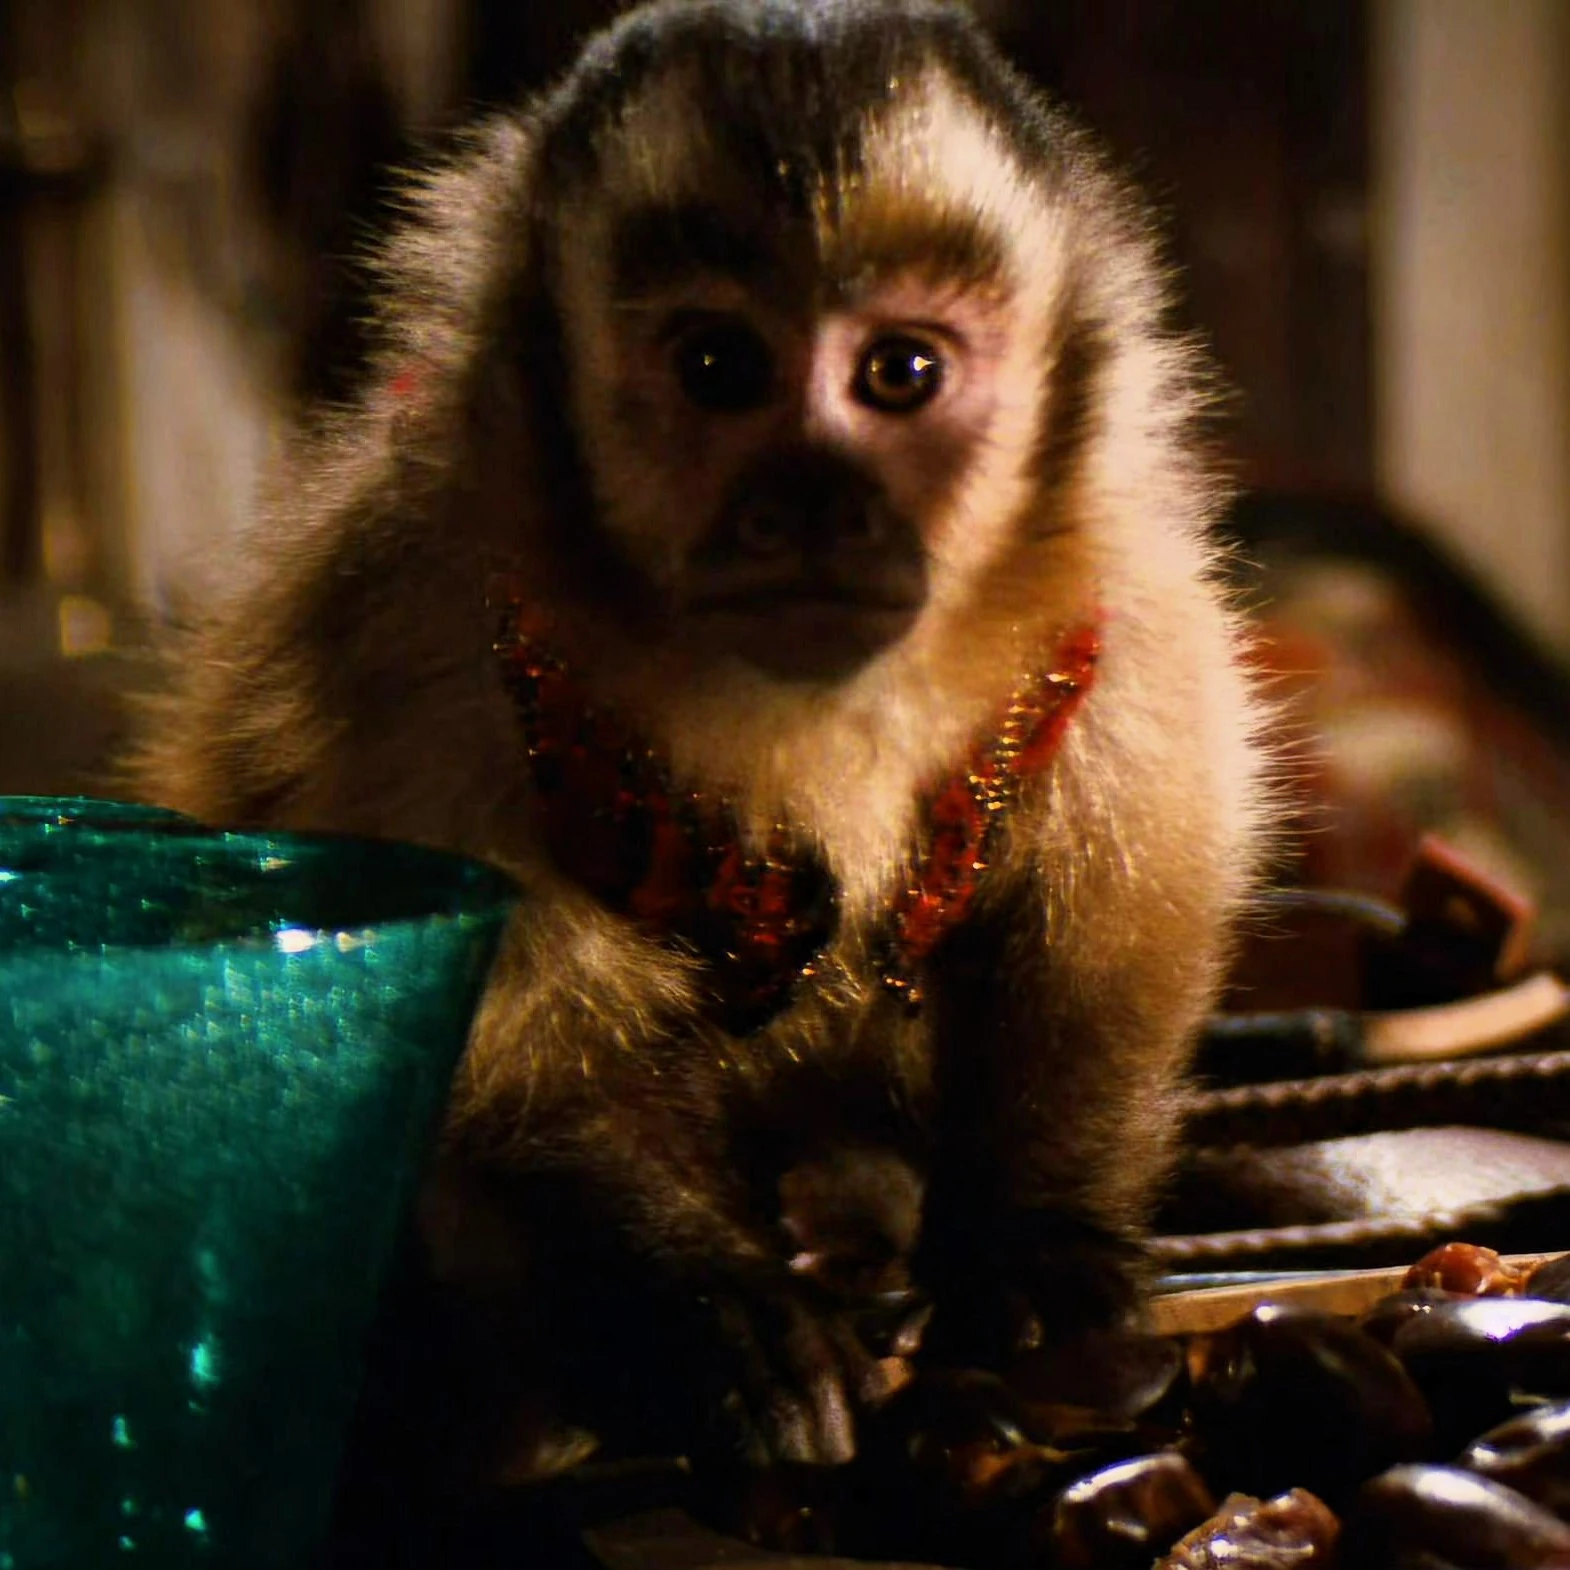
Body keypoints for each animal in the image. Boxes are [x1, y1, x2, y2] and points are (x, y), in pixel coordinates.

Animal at [130, 0, 1275, 1485]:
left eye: (900, 371)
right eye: (718, 367)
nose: (816, 504)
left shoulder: (1115, 587)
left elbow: (1117, 921)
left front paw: (1035, 1230)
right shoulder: (417, 619)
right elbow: (469, 1038)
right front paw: (707, 1302)